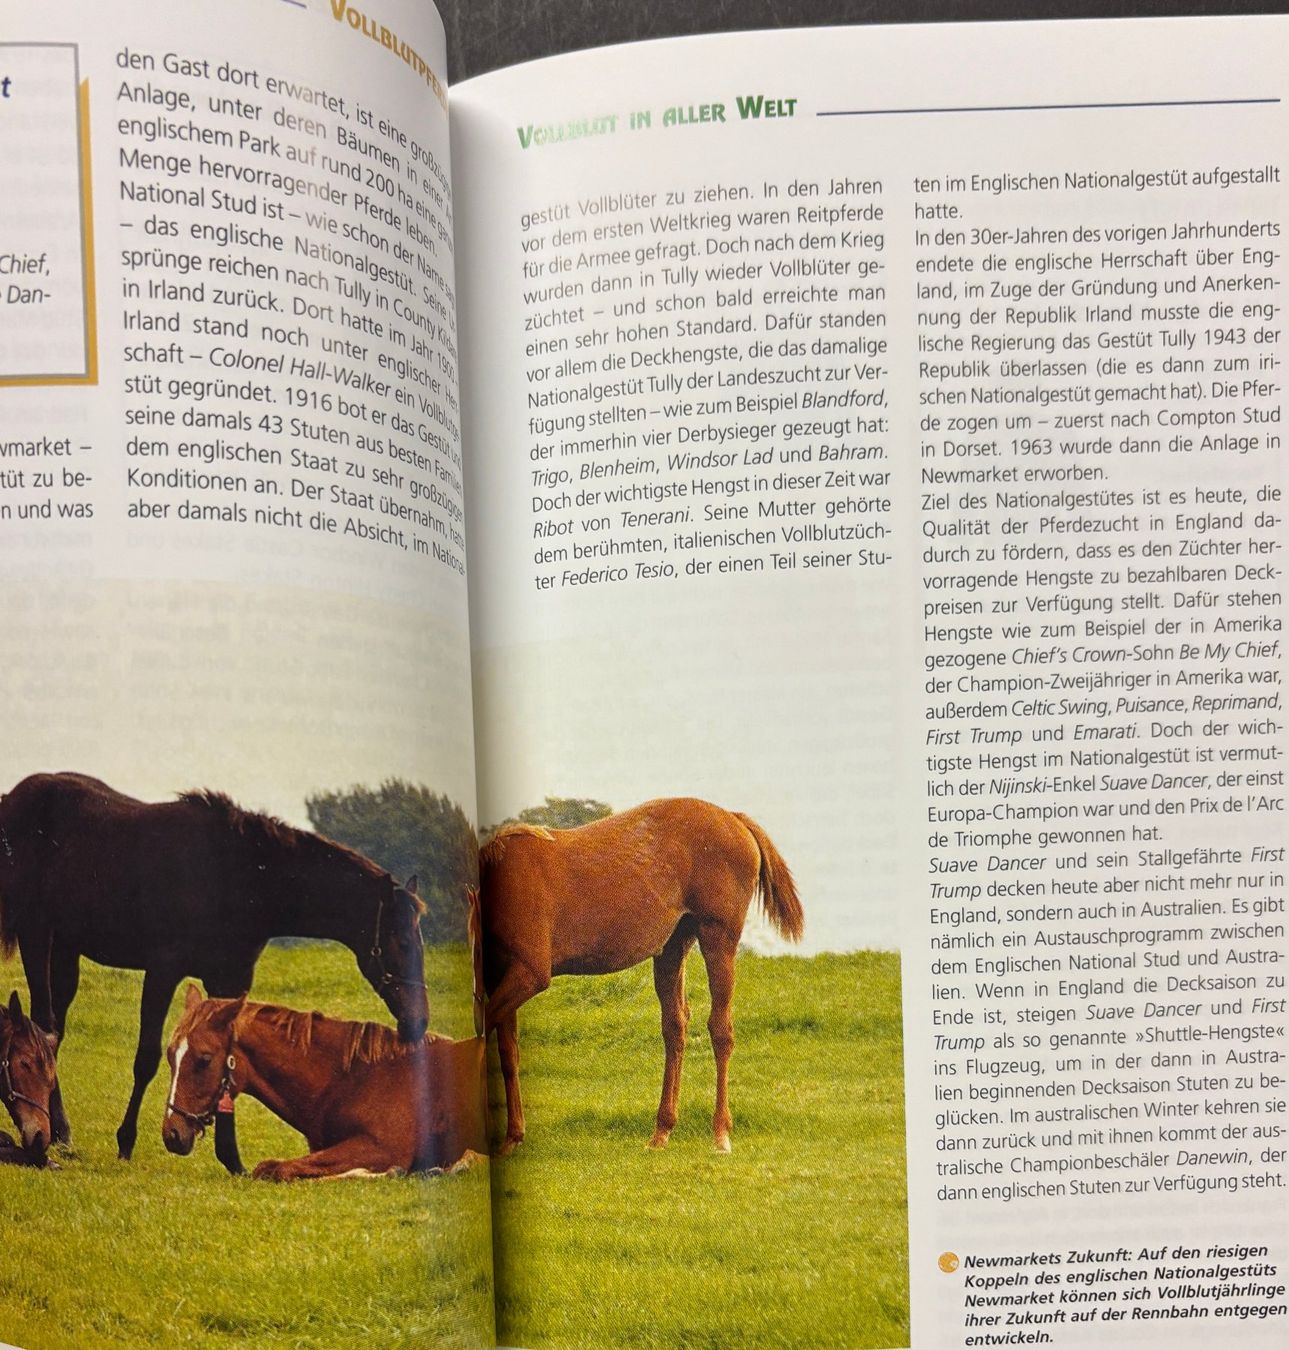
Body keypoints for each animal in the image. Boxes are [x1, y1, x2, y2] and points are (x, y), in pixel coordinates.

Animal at [163, 985, 487, 1179]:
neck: (354, 1079)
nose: (172, 1134)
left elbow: (276, 1168)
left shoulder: (383, 1148)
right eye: (170, 1056)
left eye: (204, 1059)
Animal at [478, 798, 803, 1153]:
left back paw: (720, 1133)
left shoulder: (529, 973)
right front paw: (512, 1137)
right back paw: (662, 1130)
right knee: (675, 1029)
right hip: (673, 947)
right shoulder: (501, 978)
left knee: (720, 1031)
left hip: (718, 939)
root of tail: (733, 818)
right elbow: (508, 1053)